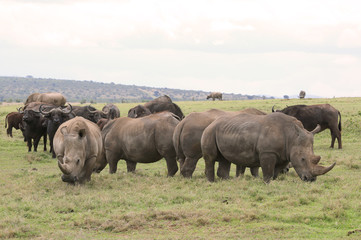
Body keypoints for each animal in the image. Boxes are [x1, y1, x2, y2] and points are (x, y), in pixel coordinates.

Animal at [201, 111, 334, 183]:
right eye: (302, 159)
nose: (310, 179)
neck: (292, 137)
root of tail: (210, 123)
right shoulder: (268, 152)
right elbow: (268, 171)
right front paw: (267, 183)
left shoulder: (283, 154)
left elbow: (276, 172)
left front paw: (274, 181)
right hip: (210, 132)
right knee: (210, 158)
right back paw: (211, 182)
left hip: (223, 131)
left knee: (225, 159)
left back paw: (227, 181)